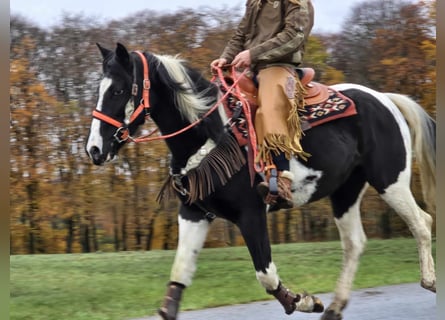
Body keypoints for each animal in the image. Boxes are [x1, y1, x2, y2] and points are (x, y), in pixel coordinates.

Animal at [85, 43, 436, 320]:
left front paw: (304, 301)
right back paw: (336, 308)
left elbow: (266, 275)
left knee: (421, 222)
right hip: (345, 192)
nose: (94, 149)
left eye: (118, 90)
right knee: (354, 243)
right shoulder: (194, 213)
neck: (212, 133)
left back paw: (430, 282)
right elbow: (179, 274)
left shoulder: (251, 214)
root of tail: (384, 99)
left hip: (390, 181)